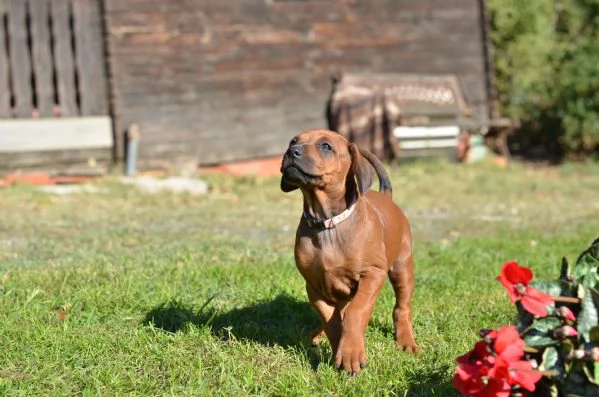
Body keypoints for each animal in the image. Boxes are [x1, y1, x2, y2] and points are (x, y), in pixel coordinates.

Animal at [280, 128, 418, 372]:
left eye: (326, 146)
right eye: (293, 141)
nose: (291, 152)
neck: (327, 224)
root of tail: (385, 196)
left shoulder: (373, 273)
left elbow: (357, 311)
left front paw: (351, 353)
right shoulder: (314, 285)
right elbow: (332, 320)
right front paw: (341, 351)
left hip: (402, 267)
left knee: (401, 307)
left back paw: (406, 340)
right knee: (339, 311)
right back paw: (316, 335)